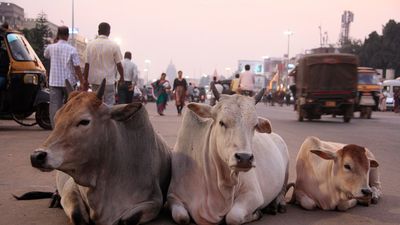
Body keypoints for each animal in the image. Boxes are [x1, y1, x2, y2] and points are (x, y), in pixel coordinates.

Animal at [29, 80, 170, 225]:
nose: (37, 156)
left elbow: (126, 220)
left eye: (84, 121)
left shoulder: (154, 201)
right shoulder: (72, 187)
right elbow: (77, 216)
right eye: (56, 118)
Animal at [167, 84, 290, 225]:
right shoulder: (173, 196)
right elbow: (182, 217)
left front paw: (257, 213)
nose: (244, 158)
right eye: (222, 122)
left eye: (254, 126)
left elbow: (233, 217)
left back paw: (277, 204)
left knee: (282, 190)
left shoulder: (254, 194)